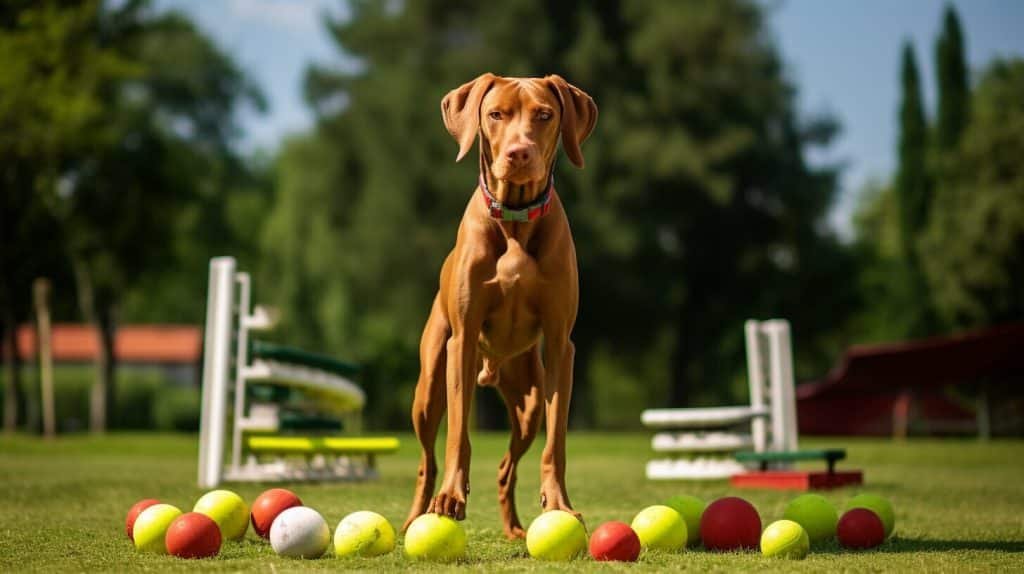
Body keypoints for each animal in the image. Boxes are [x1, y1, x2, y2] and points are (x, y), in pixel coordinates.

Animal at [401, 72, 598, 536]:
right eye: (495, 115)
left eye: (544, 115)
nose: (518, 153)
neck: (514, 217)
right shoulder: (462, 340)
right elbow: (458, 434)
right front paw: (451, 498)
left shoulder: (560, 345)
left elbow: (556, 442)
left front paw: (559, 505)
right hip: (428, 390)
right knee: (426, 459)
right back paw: (415, 517)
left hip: (528, 401)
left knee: (507, 466)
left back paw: (514, 529)